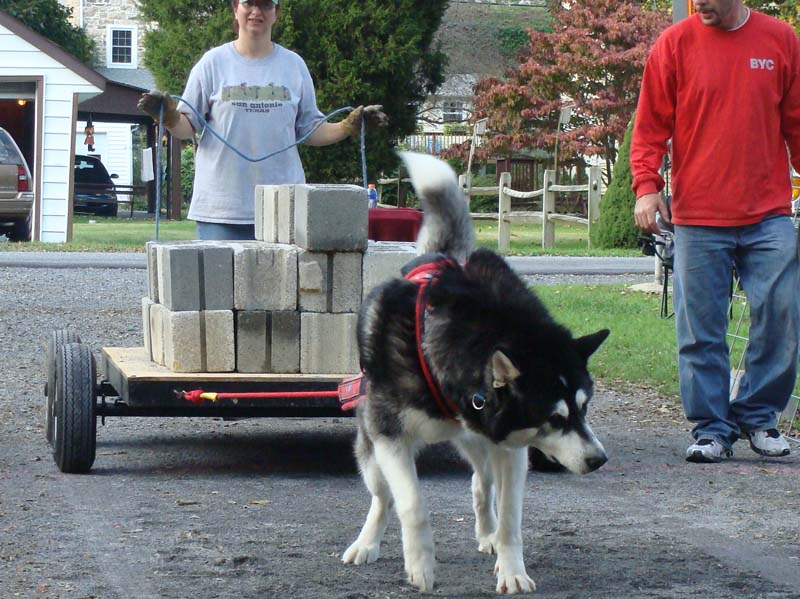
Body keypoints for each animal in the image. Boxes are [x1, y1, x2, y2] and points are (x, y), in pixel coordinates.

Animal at [340, 152, 608, 592]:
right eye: (555, 418)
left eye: (584, 410)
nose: (599, 460)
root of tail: (444, 255)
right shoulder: (389, 436)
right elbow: (411, 502)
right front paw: (421, 564)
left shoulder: (512, 445)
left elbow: (511, 519)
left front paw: (512, 568)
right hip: (375, 445)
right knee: (382, 495)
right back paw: (367, 543)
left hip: (482, 443)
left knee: (481, 483)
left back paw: (487, 532)